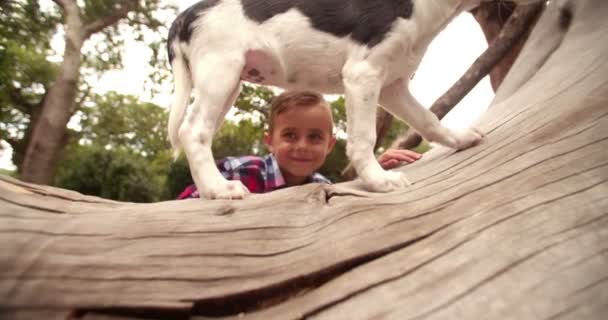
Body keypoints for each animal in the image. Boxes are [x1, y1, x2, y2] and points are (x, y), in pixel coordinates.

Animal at [166, 0, 532, 199]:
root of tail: (186, 15)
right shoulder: (363, 73)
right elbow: (363, 138)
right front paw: (379, 180)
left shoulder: (392, 85)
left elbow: (427, 119)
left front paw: (459, 139)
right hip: (221, 70)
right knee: (193, 131)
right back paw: (218, 189)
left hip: (229, 83)